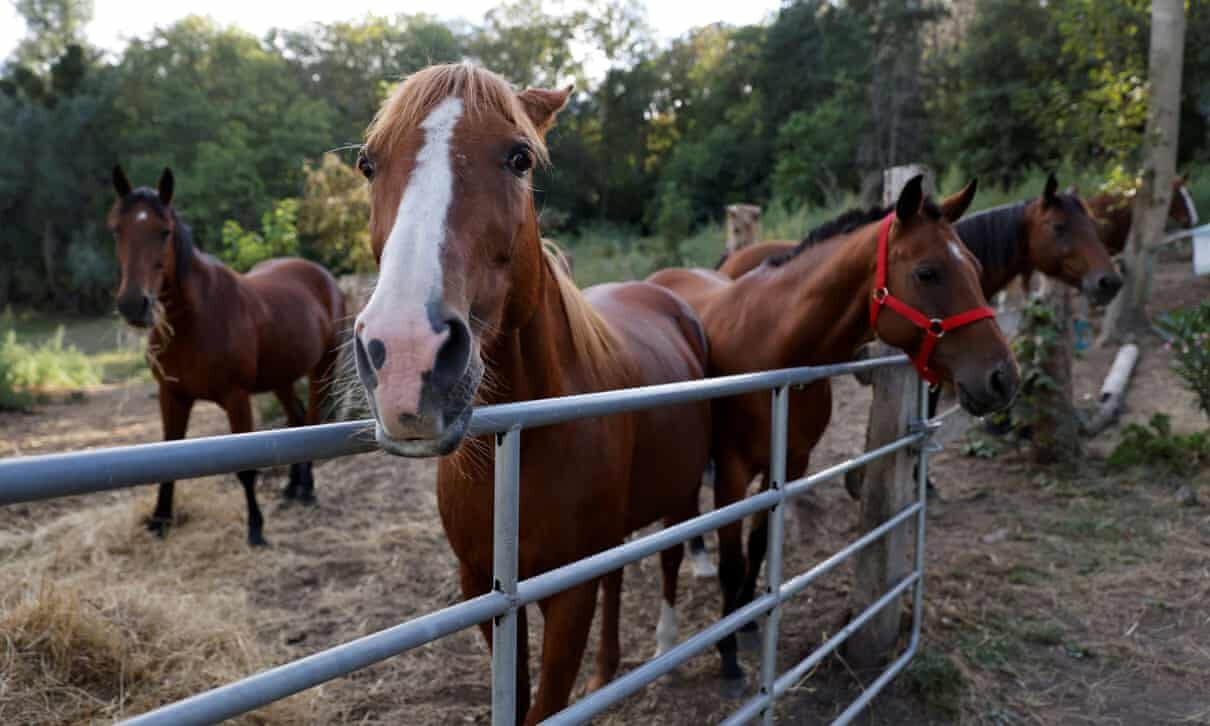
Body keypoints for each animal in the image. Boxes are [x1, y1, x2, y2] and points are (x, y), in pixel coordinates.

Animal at [108, 166, 348, 546]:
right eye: (117, 229)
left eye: (164, 231)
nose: (134, 304)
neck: (194, 320)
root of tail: (323, 276)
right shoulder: (171, 396)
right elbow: (166, 455)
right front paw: (160, 520)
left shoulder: (236, 399)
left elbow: (246, 468)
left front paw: (256, 528)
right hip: (280, 378)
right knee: (295, 420)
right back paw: (292, 488)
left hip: (323, 369)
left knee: (311, 421)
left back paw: (307, 490)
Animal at [350, 63, 712, 724]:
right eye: (368, 163)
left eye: (519, 157)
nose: (407, 356)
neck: (521, 446)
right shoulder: (483, 587)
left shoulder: (567, 596)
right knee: (618, 575)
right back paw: (606, 671)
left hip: (678, 493)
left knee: (671, 557)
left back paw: (666, 647)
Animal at [648, 175, 1019, 693]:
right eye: (928, 273)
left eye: (977, 267)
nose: (1003, 378)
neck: (772, 345)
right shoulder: (733, 472)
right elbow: (733, 559)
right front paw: (728, 657)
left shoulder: (788, 464)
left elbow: (759, 547)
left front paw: (747, 622)